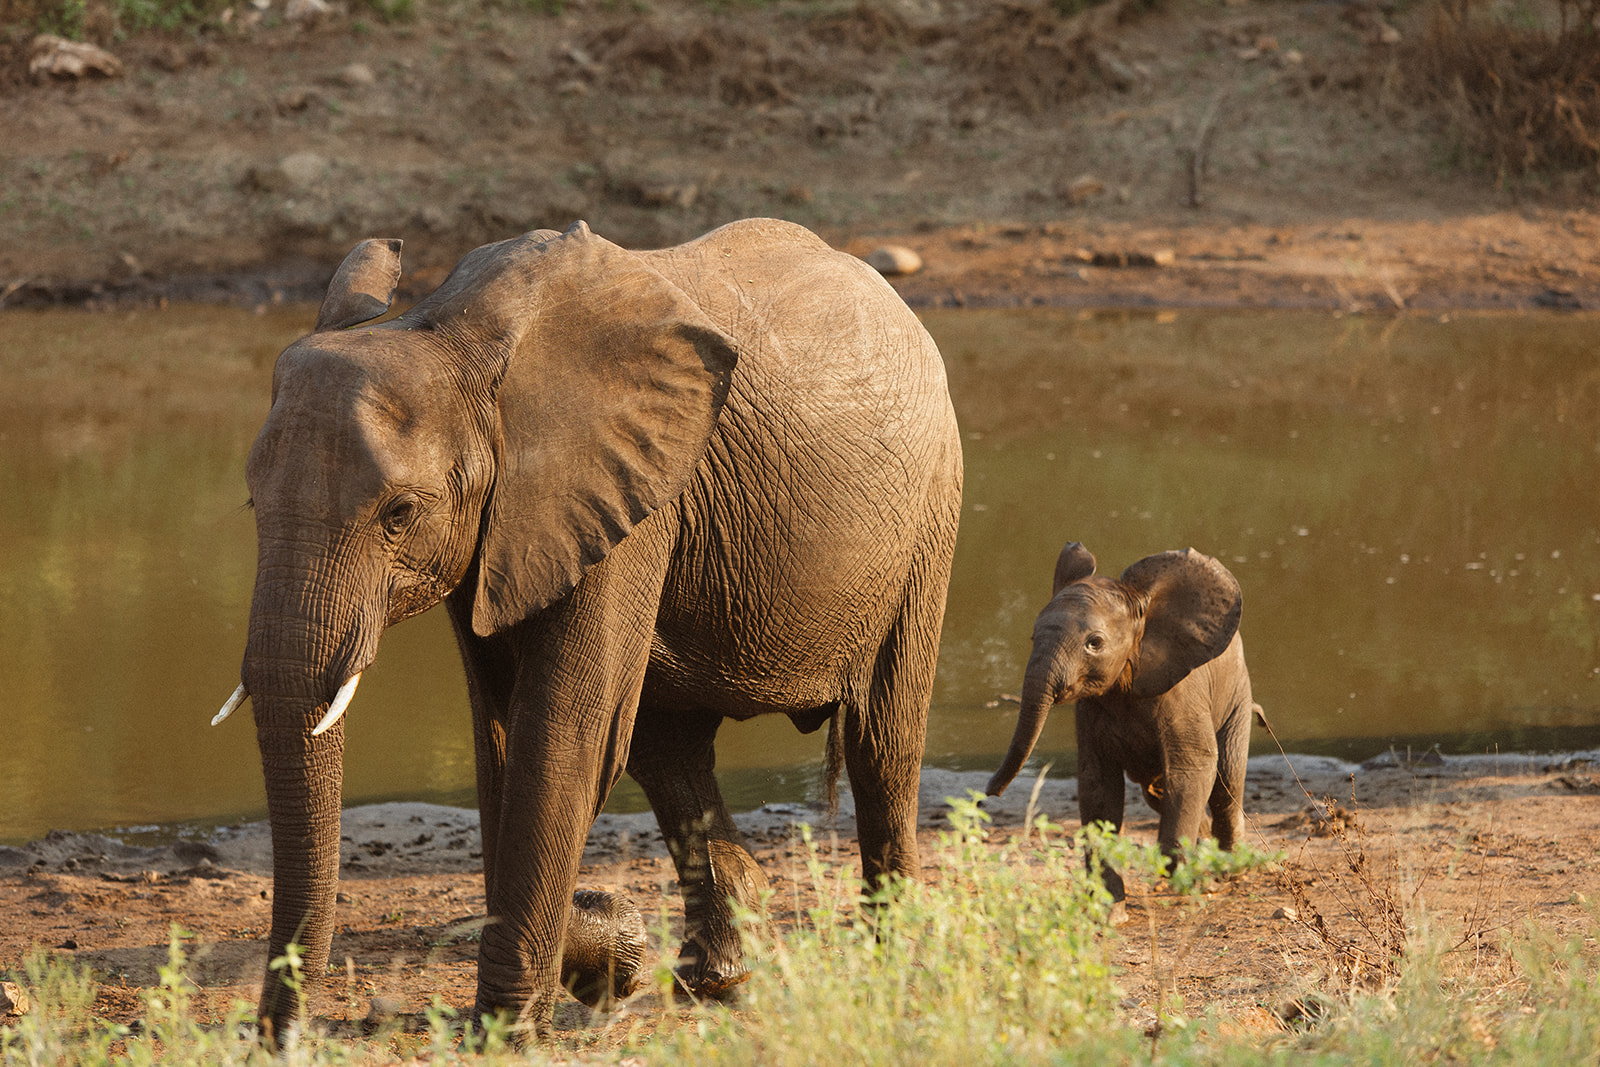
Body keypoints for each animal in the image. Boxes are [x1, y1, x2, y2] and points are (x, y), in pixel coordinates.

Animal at [211, 217, 963, 1040]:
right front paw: (609, 953)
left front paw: (513, 1027)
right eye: (251, 502)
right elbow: (502, 738)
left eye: (399, 514)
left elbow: (563, 733)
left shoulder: (625, 497)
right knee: (670, 751)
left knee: (882, 741)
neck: (448, 334)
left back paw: (894, 962)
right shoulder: (506, 527)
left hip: (929, 517)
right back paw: (723, 971)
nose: (274, 1037)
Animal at [985, 543, 1257, 911]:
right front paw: (1109, 909)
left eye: (1094, 643)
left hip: (1238, 694)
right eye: (1032, 635)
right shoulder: (1089, 710)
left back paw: (1230, 868)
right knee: (1159, 792)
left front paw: (1198, 880)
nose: (989, 792)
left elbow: (1194, 767)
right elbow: (1098, 787)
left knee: (1226, 782)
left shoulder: (1182, 695)